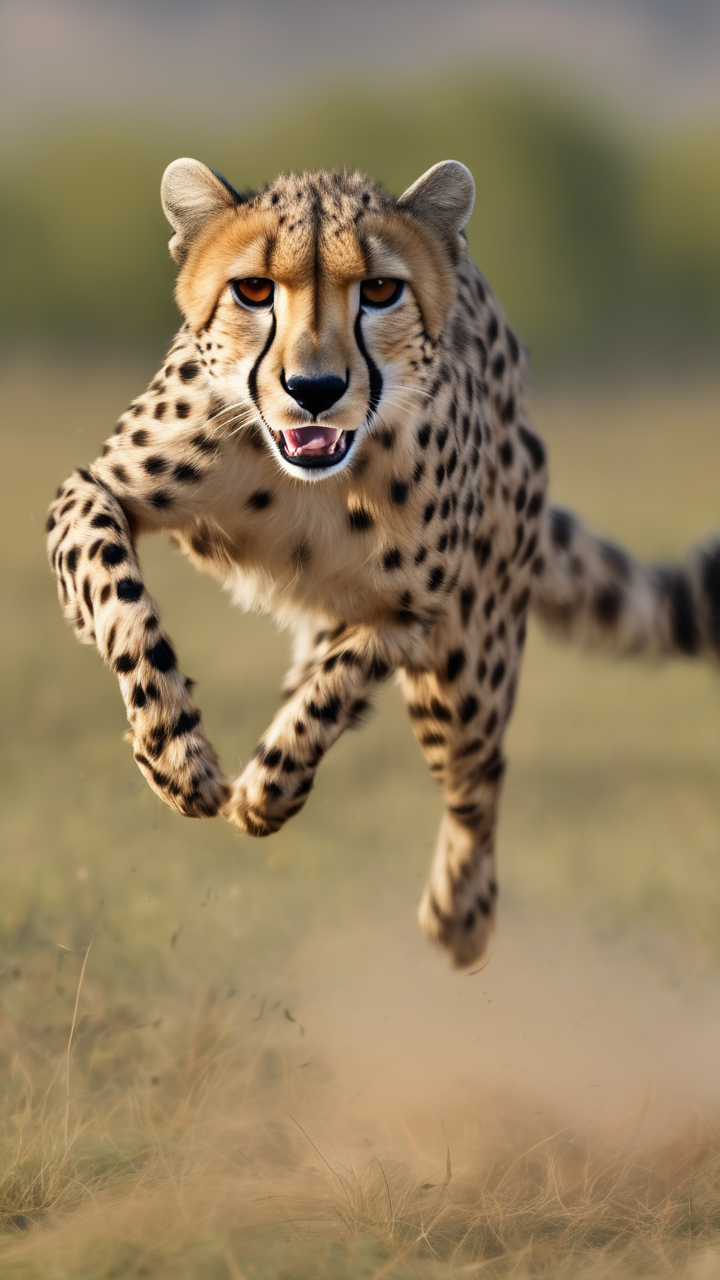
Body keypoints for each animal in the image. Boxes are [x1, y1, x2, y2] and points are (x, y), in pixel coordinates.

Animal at [46, 158, 720, 968]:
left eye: (378, 291)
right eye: (253, 290)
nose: (314, 390)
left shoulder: (409, 610)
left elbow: (335, 690)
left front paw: (268, 786)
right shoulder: (96, 488)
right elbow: (118, 595)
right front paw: (173, 752)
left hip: (470, 659)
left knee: (478, 774)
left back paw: (462, 914)